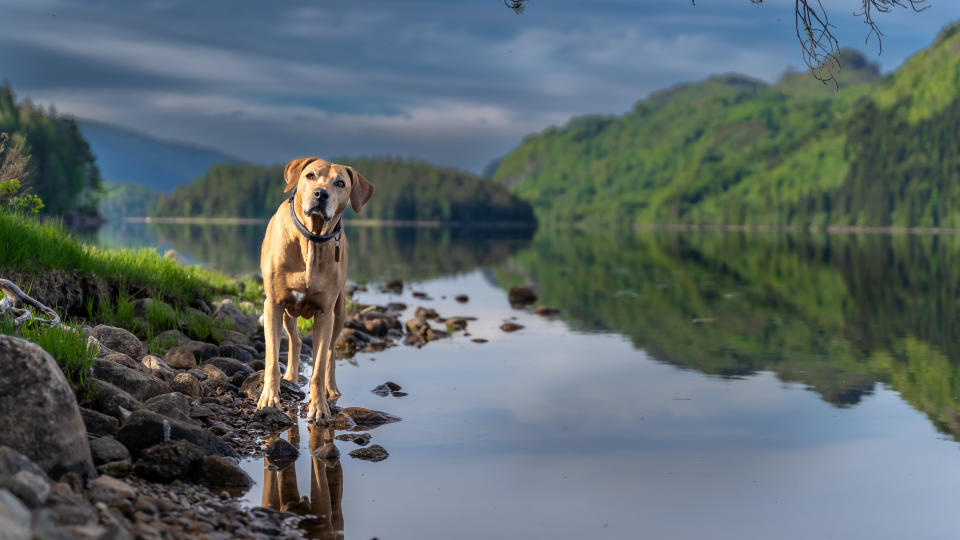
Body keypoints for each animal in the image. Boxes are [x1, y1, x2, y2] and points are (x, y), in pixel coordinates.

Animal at [256, 156, 374, 422]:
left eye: (340, 183)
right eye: (310, 176)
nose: (321, 194)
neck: (311, 238)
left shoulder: (325, 313)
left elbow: (318, 367)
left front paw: (319, 406)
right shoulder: (273, 305)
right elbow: (271, 360)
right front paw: (269, 399)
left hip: (339, 313)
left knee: (330, 352)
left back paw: (331, 389)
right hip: (287, 312)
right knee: (296, 340)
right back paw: (290, 377)